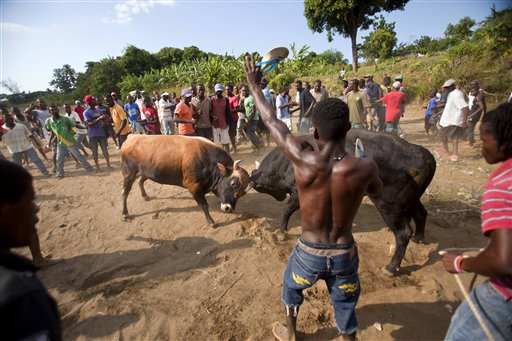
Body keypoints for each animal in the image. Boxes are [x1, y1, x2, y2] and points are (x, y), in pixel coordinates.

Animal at [250, 129, 434, 274]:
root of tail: (422, 154)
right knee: (421, 214)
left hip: (388, 206)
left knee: (403, 233)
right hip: (412, 200)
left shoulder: (299, 193)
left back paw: (391, 267)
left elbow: (287, 210)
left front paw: (282, 231)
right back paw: (419, 237)